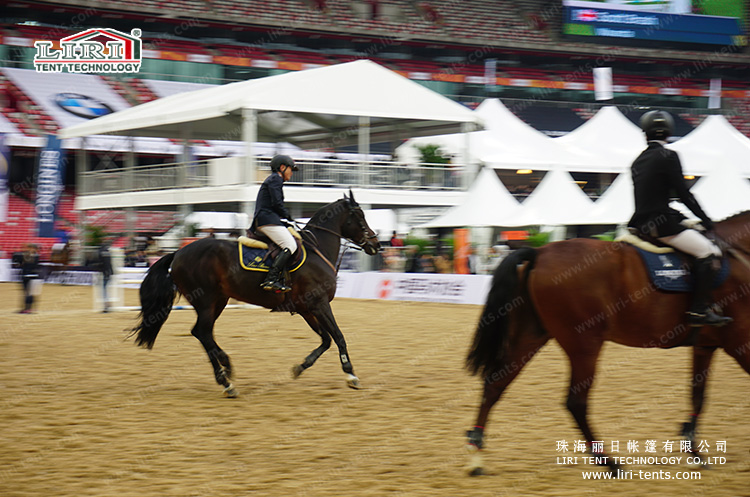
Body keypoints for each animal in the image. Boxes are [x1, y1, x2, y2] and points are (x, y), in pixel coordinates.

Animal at [129, 190, 382, 396]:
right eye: (360, 216)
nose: (376, 245)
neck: (317, 250)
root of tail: (178, 253)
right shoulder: (319, 304)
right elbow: (338, 336)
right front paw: (351, 375)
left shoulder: (306, 309)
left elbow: (326, 340)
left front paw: (299, 367)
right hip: (206, 301)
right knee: (202, 332)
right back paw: (226, 381)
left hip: (218, 301)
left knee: (203, 333)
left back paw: (226, 368)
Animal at [468, 209, 750, 472]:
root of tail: (540, 253)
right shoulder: (740, 342)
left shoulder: (705, 346)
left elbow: (698, 396)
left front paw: (694, 450)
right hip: (584, 344)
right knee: (575, 402)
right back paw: (608, 461)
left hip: (531, 335)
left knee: (495, 384)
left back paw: (476, 454)